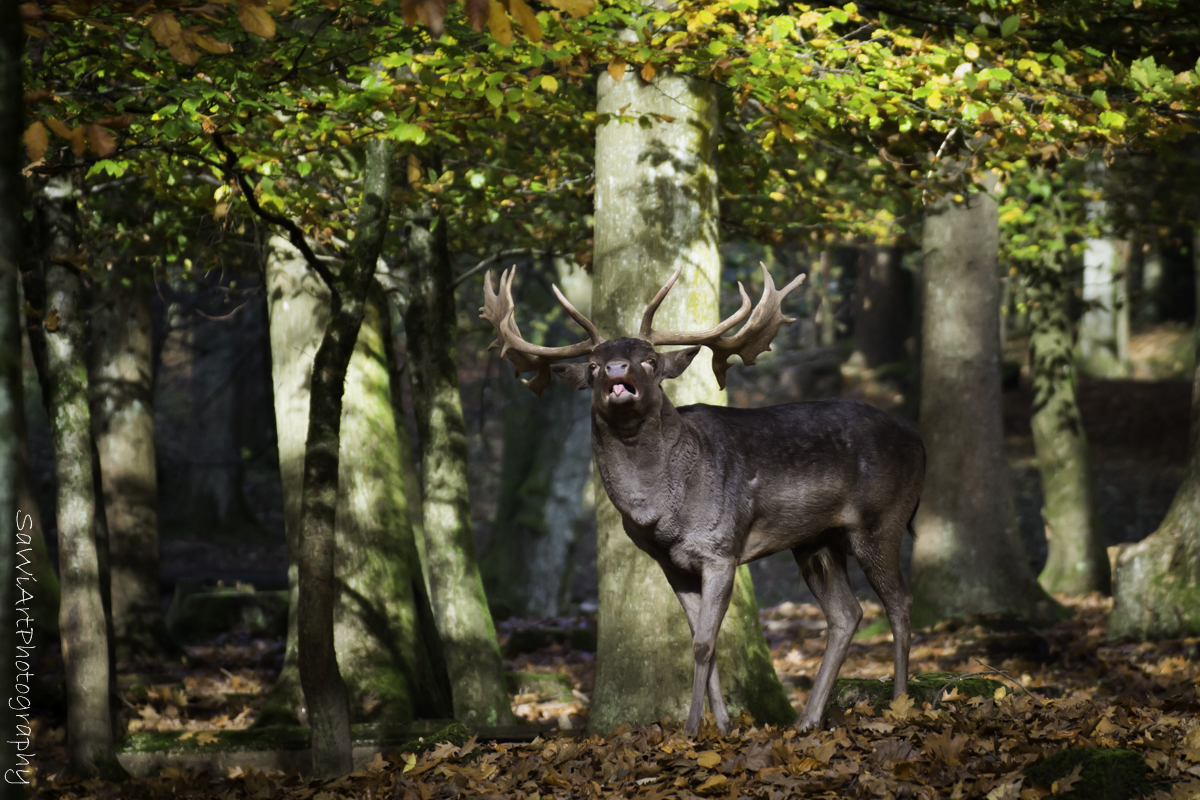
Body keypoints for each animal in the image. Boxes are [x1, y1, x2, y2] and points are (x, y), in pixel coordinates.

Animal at [480, 266, 926, 734]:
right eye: (594, 365)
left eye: (650, 360)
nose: (618, 369)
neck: (660, 511)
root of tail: (920, 443)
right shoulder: (671, 564)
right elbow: (699, 641)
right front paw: (724, 726)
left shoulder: (720, 549)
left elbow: (705, 644)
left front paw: (693, 728)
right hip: (815, 541)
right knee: (846, 613)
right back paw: (806, 720)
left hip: (881, 520)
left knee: (899, 601)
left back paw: (900, 702)